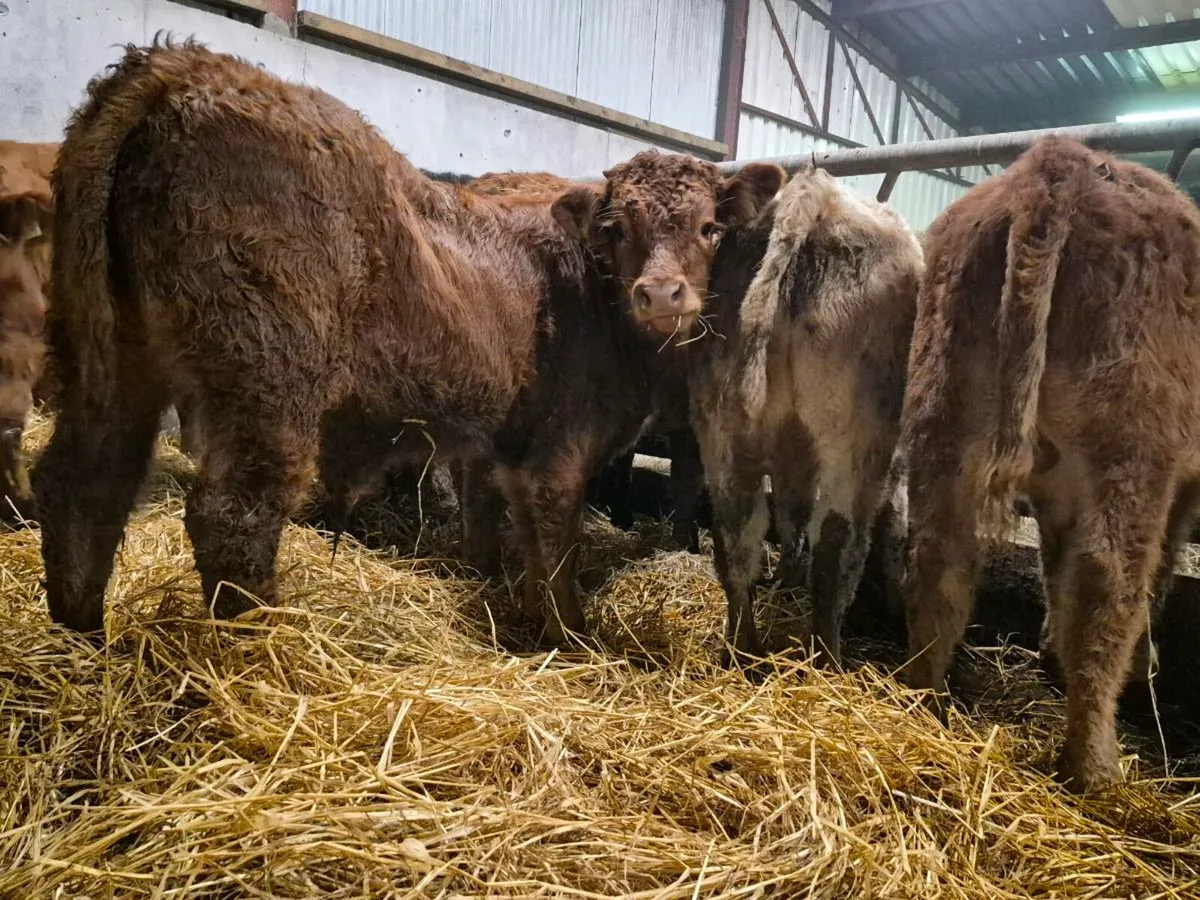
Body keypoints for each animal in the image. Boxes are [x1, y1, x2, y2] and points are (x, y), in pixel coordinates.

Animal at [35, 39, 784, 644]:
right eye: (616, 229)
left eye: (710, 228)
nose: (661, 294)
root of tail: (183, 67)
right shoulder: (558, 452)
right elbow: (556, 550)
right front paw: (574, 639)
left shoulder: (507, 449)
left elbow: (506, 533)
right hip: (266, 382)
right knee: (235, 515)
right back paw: (260, 654)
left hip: (109, 356)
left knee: (84, 482)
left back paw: (84, 645)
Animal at [686, 165, 922, 669]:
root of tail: (812, 190)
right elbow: (894, 528)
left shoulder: (792, 448)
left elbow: (791, 512)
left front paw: (785, 578)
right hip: (857, 437)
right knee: (838, 543)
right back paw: (828, 659)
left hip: (722, 428)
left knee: (735, 537)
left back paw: (742, 650)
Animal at [900, 135, 1200, 793]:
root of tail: (1061, 161)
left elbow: (1051, 568)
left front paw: (1048, 648)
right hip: (1133, 449)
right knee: (1107, 579)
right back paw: (1094, 766)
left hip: (944, 420)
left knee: (942, 554)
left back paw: (920, 700)